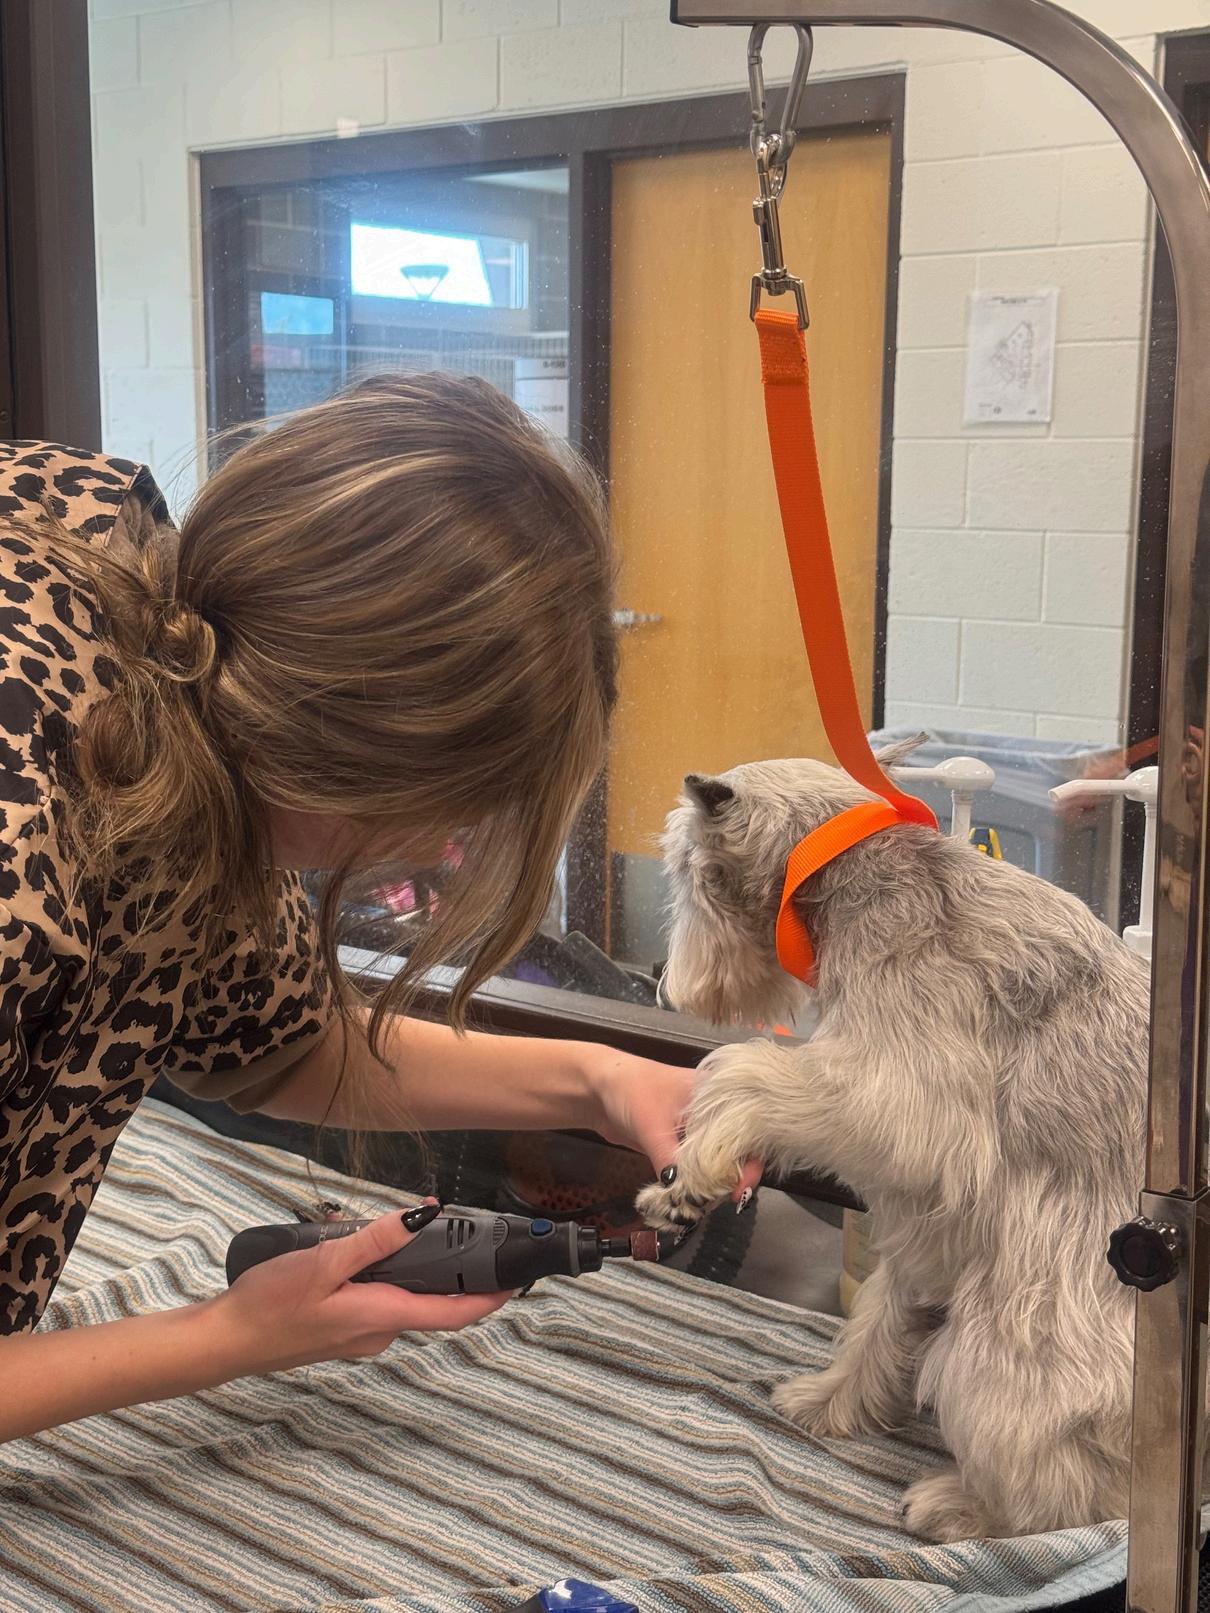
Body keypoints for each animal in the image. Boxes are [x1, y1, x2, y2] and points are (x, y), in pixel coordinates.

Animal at [637, 740, 1150, 1543]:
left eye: (687, 870)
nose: (668, 986)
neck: (847, 870)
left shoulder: (898, 1100)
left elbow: (745, 1072)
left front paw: (694, 1167)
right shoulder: (928, 1231)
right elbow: (879, 1320)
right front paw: (834, 1398)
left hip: (1005, 1345)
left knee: (1073, 1498)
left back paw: (971, 1507)